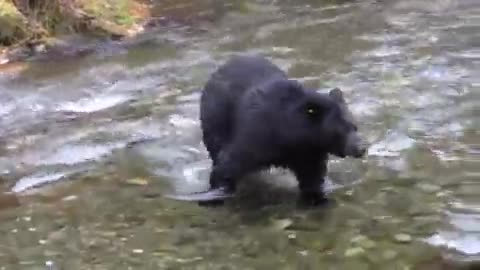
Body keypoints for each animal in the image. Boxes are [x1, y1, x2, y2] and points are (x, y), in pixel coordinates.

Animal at [171, 54, 366, 206]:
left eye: (354, 125)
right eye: (340, 129)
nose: (362, 148)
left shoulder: (309, 153)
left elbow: (312, 176)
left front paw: (317, 198)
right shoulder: (256, 133)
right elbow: (229, 163)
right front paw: (214, 193)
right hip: (214, 120)